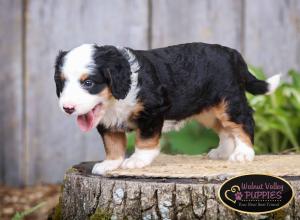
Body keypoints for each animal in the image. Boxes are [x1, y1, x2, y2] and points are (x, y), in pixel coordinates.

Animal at [53, 42, 278, 174]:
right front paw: (110, 163)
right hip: (208, 109)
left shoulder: (152, 111)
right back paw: (222, 152)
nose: (67, 108)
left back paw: (243, 154)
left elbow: (145, 140)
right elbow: (113, 144)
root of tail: (232, 53)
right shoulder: (107, 122)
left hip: (229, 102)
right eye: (62, 82)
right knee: (225, 130)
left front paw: (137, 161)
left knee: (243, 123)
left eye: (88, 83)